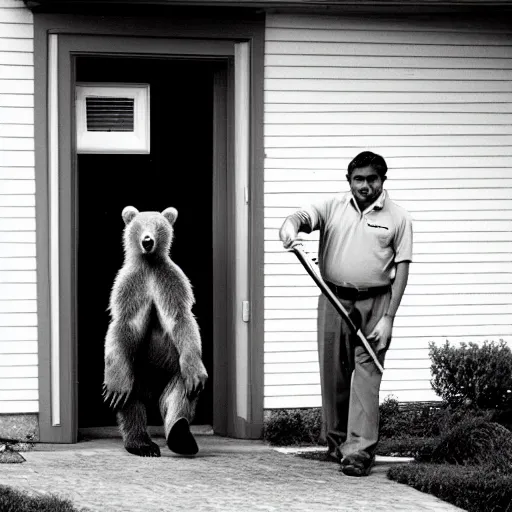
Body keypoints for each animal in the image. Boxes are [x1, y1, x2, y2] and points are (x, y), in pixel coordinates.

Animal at [103, 206, 207, 458]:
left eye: (158, 225)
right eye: (140, 224)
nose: (148, 241)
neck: (149, 264)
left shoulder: (168, 281)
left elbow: (181, 319)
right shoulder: (132, 285)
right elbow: (124, 323)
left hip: (173, 365)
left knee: (181, 392)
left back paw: (181, 435)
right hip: (135, 369)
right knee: (130, 399)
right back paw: (142, 444)